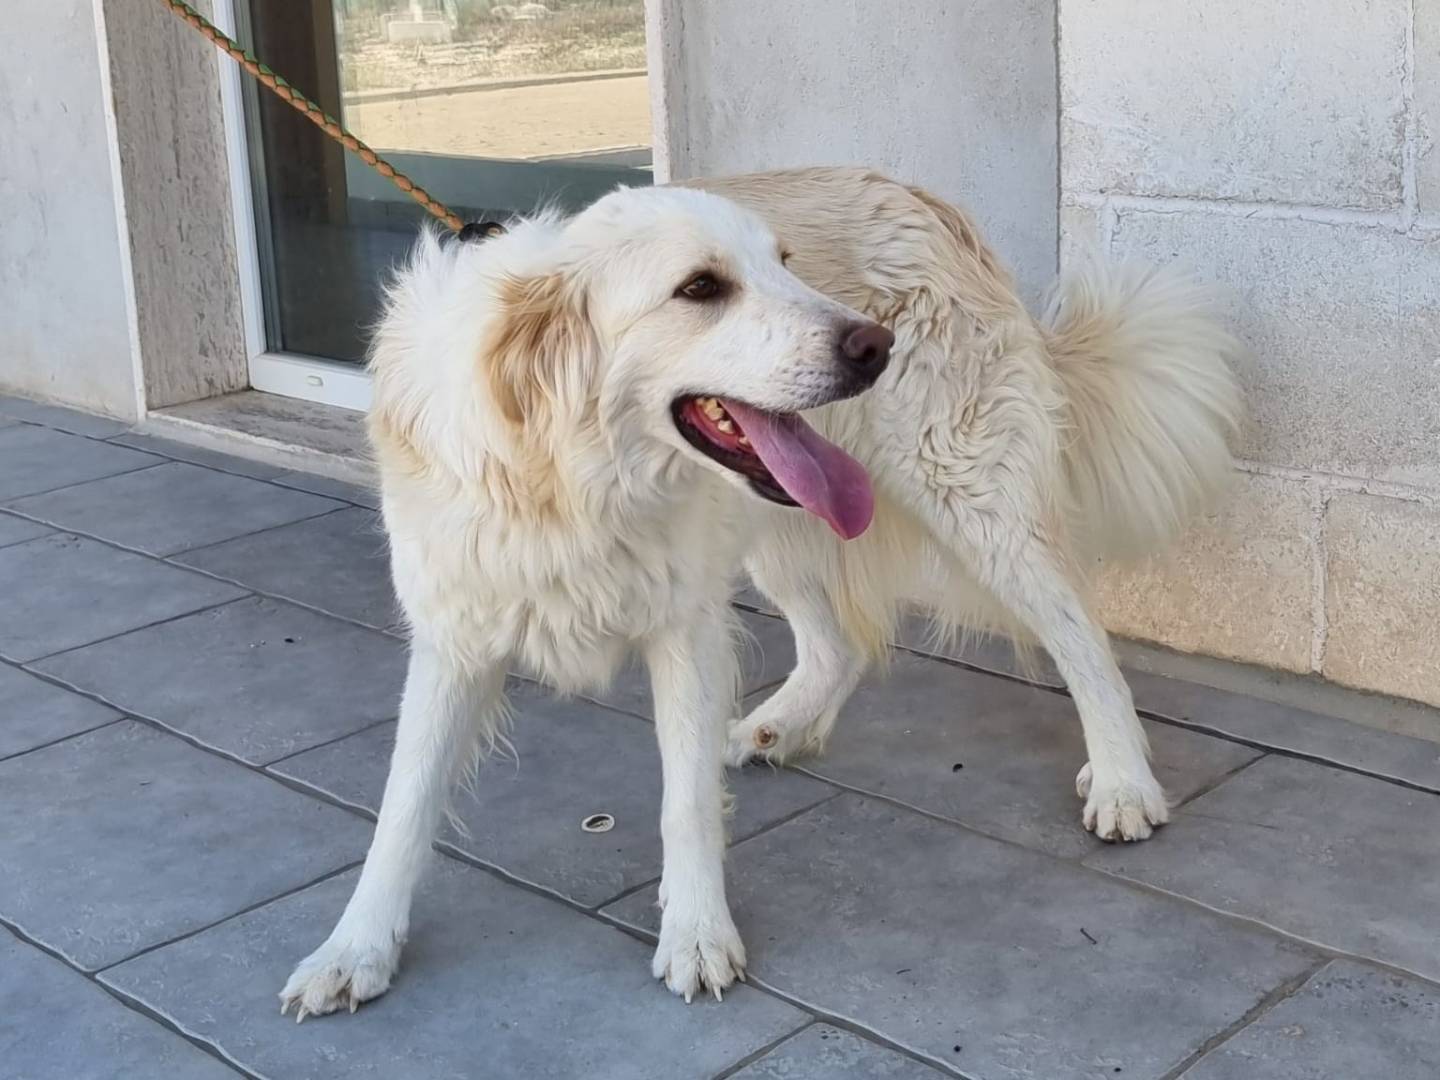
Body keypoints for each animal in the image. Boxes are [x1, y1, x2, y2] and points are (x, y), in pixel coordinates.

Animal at [279, 182, 887, 1019]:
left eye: (785, 264)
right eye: (701, 288)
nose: (878, 346)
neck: (569, 480)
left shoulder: (689, 631)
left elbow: (686, 801)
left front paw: (695, 930)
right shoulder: (451, 641)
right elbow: (403, 803)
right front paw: (355, 947)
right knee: (838, 643)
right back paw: (778, 729)